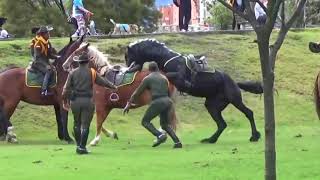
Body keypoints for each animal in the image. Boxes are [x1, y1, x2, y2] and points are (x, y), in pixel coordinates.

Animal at [124, 39, 262, 143]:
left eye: (128, 56)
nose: (127, 68)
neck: (168, 58)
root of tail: (234, 83)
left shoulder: (178, 77)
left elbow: (169, 75)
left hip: (235, 100)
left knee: (249, 113)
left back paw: (254, 136)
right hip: (212, 105)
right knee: (222, 124)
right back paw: (210, 139)